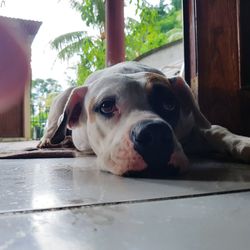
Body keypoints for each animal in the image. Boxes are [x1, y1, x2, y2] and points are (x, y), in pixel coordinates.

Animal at [37, 61, 250, 177]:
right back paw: (49, 140)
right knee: (54, 127)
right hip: (62, 99)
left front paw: (242, 142)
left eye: (169, 104)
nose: (155, 134)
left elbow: (216, 129)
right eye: (106, 106)